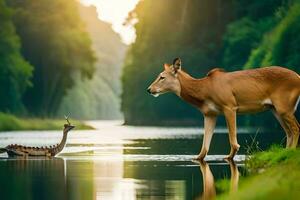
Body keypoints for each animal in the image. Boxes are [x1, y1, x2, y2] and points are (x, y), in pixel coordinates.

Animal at [148, 57, 300, 159]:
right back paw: (285, 152)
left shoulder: (230, 106)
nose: (149, 89)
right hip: (275, 109)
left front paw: (228, 157)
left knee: (295, 128)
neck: (203, 91)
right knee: (288, 131)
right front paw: (196, 158)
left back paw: (290, 153)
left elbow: (233, 141)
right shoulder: (209, 113)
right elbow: (204, 147)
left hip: (284, 107)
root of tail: (298, 77)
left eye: (162, 77)